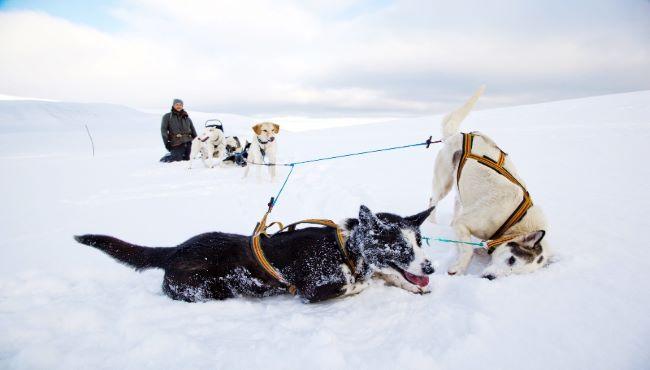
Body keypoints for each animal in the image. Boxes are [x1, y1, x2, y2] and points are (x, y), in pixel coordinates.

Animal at [73, 205, 432, 304]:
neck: (345, 247)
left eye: (419, 241)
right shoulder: (313, 290)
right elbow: (359, 283)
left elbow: (384, 274)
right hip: (207, 289)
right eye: (400, 247)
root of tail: (174, 250)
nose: (430, 267)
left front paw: (411, 285)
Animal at [428, 86, 548, 278]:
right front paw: (459, 267)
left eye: (515, 273)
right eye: (512, 259)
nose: (490, 277)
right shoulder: (464, 223)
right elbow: (467, 250)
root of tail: (458, 135)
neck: (515, 221)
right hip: (443, 182)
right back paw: (431, 223)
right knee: (433, 200)